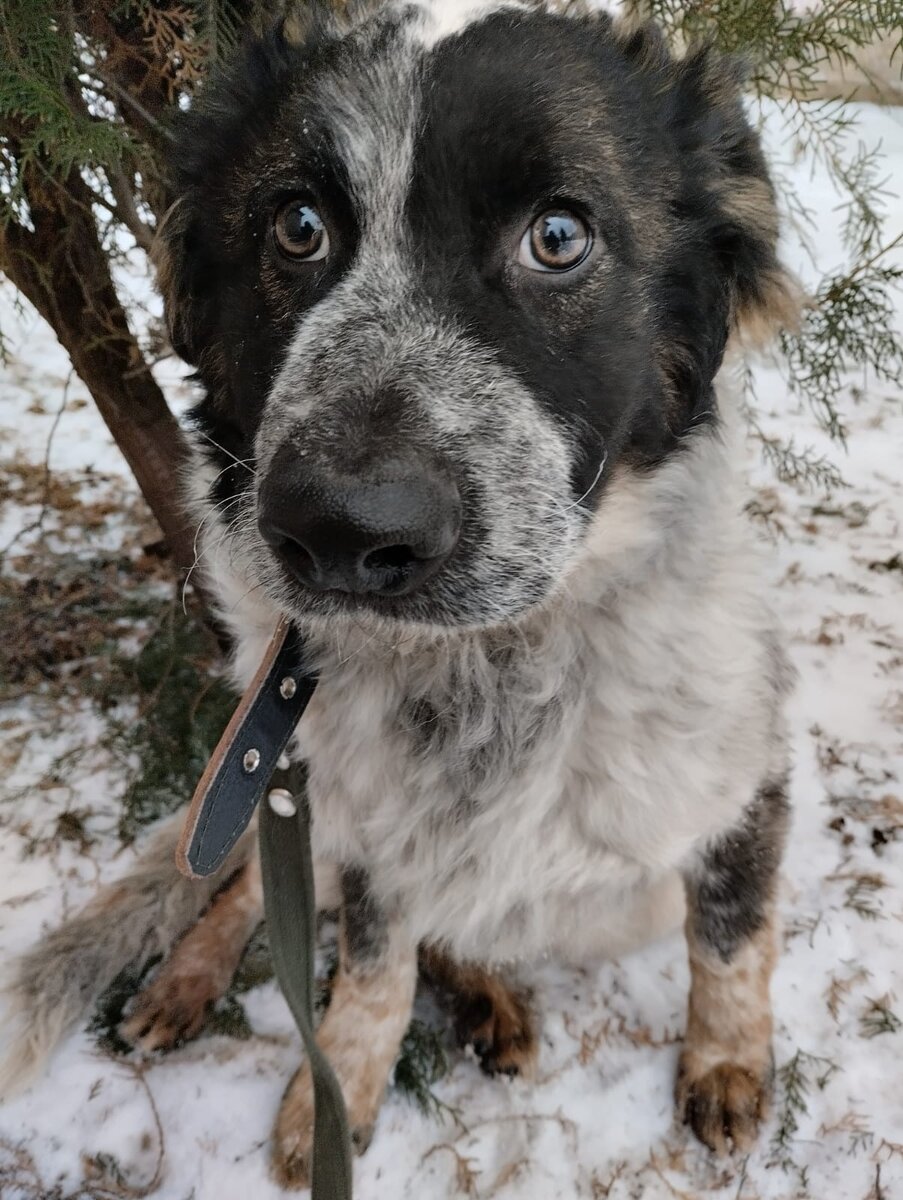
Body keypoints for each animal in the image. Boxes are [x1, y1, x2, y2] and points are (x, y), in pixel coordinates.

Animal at [5, 0, 797, 1180]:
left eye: (558, 237)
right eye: (295, 227)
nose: (341, 531)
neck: (487, 675)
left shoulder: (744, 793)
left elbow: (731, 943)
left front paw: (727, 1066)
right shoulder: (368, 837)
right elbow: (374, 968)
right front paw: (331, 1095)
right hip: (296, 792)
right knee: (248, 886)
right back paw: (193, 981)